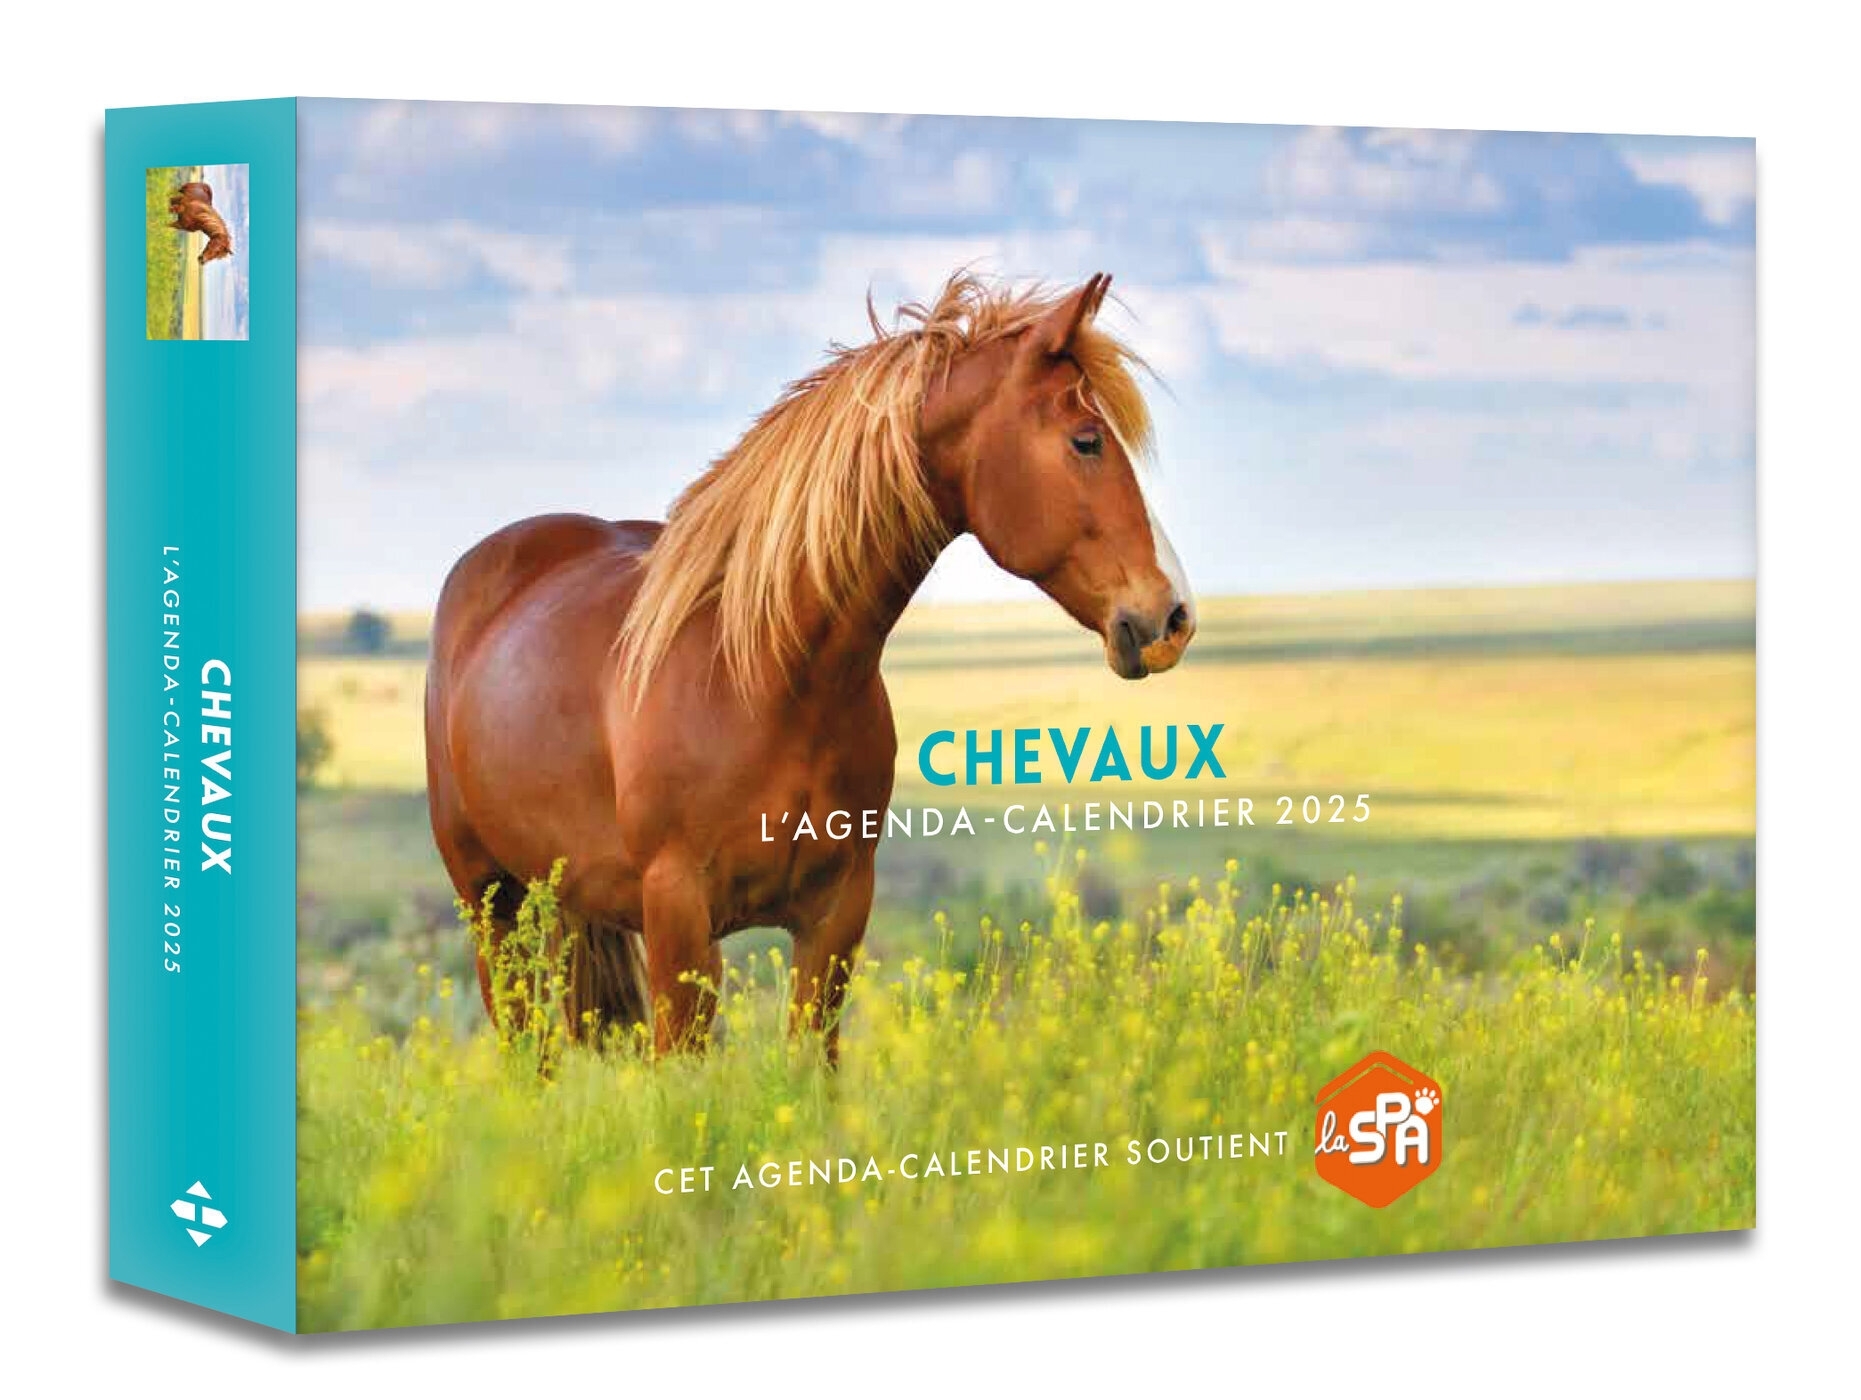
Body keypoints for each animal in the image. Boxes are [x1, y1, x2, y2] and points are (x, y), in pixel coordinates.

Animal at [424, 272, 1196, 1062]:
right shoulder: (677, 916)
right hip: (492, 906)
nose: (1171, 617)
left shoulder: (834, 916)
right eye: (1086, 441)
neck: (768, 678)